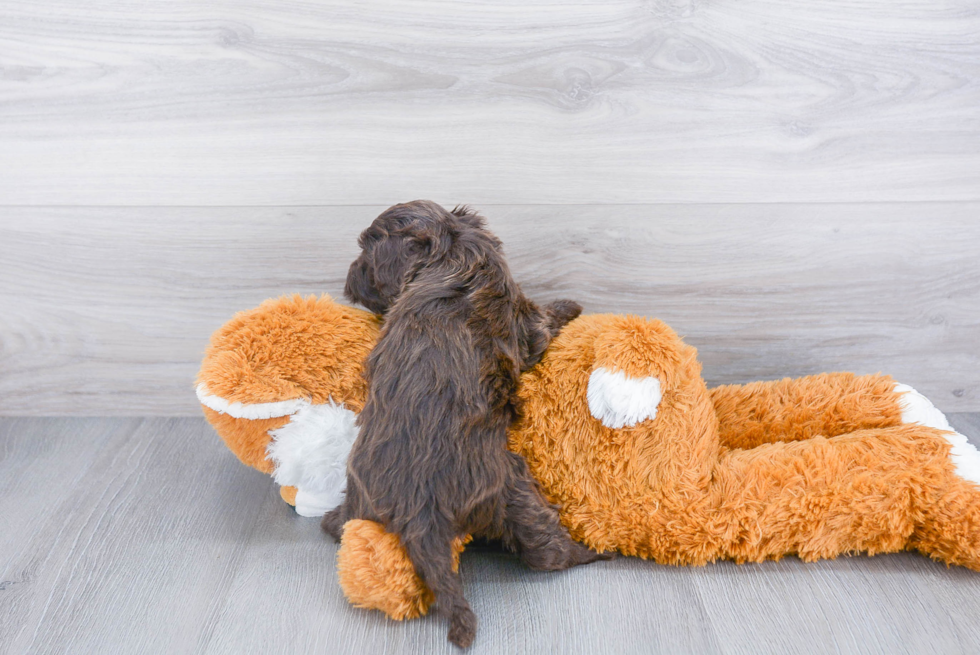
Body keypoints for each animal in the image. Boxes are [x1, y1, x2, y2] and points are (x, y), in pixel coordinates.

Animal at [324, 202, 604, 648]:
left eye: (366, 250)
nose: (349, 278)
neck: (449, 248)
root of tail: (418, 513)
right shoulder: (526, 323)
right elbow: (545, 319)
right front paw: (570, 306)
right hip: (513, 490)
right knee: (546, 551)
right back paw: (591, 552)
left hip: (361, 499)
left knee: (341, 525)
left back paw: (331, 518)